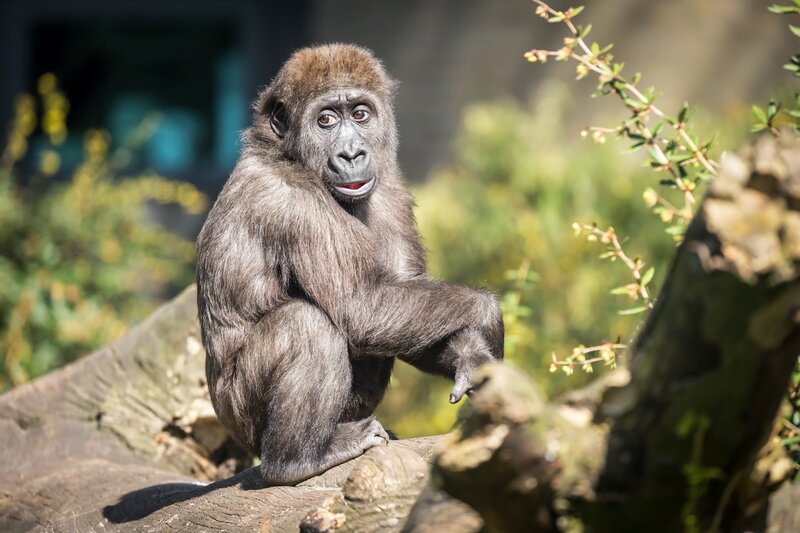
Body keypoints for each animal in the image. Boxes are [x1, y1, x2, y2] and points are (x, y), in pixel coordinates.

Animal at [196, 43, 504, 485]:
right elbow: (360, 307)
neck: (285, 152)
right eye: (325, 120)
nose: (352, 153)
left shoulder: (392, 191)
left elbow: (411, 311)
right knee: (306, 325)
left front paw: (472, 357)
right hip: (238, 421)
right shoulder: (292, 198)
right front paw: (488, 316)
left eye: (360, 114)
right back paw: (298, 459)